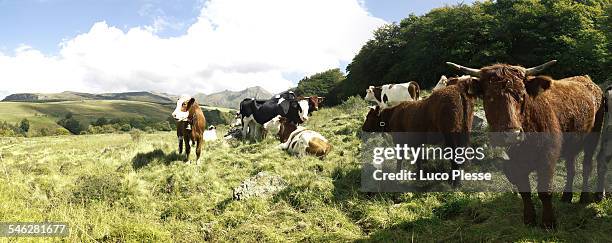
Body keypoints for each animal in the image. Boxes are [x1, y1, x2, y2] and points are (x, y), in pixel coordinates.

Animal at [448, 60, 604, 228]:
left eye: (522, 95)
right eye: (489, 97)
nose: (511, 135)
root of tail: (586, 79)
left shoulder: (547, 157)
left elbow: (545, 190)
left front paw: (548, 222)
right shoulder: (514, 164)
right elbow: (524, 190)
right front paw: (529, 218)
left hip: (593, 137)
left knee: (587, 166)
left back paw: (584, 198)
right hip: (572, 141)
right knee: (571, 167)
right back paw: (566, 197)